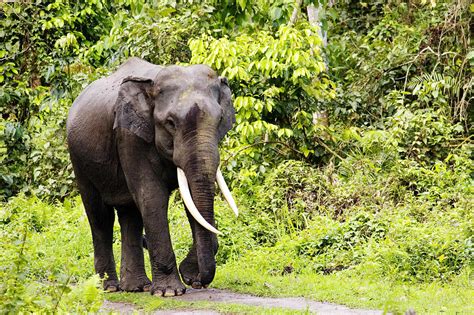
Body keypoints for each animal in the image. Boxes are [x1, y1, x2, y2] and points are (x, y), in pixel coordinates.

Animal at [66, 58, 237, 298]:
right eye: (171, 123)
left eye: (220, 119)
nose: (196, 281)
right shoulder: (129, 136)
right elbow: (152, 196)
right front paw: (169, 292)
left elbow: (191, 202)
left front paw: (187, 276)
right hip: (79, 159)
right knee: (100, 216)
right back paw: (110, 287)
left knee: (130, 215)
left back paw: (137, 287)